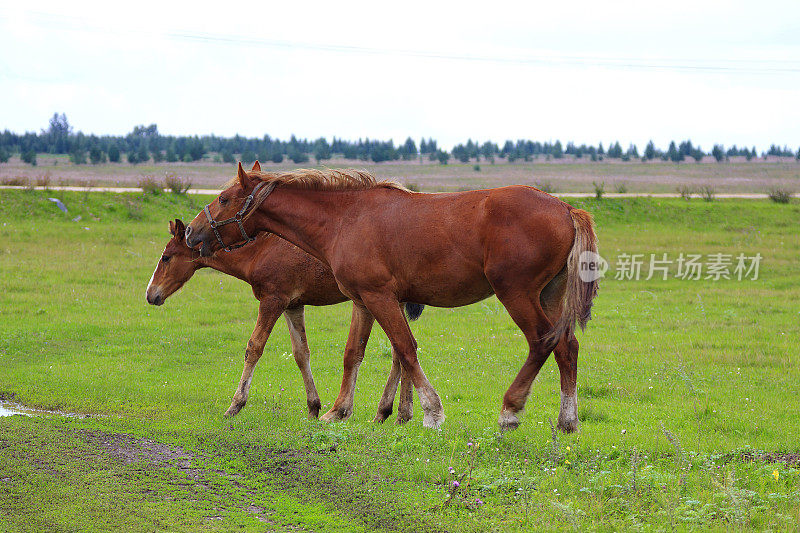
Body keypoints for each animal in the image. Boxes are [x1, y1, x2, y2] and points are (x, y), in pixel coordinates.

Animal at [145, 204, 418, 424]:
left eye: (166, 257)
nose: (150, 295)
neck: (260, 250)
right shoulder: (292, 305)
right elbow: (301, 353)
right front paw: (313, 408)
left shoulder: (272, 300)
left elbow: (254, 347)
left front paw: (235, 405)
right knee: (403, 348)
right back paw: (390, 412)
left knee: (402, 348)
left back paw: (395, 412)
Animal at [186, 163, 600, 432]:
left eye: (223, 199)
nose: (191, 232)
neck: (346, 219)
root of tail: (566, 207)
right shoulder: (362, 301)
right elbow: (354, 354)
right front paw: (338, 411)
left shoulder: (380, 297)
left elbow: (405, 347)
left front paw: (431, 412)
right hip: (548, 296)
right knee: (566, 346)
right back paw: (568, 420)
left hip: (518, 295)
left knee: (542, 342)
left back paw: (511, 410)